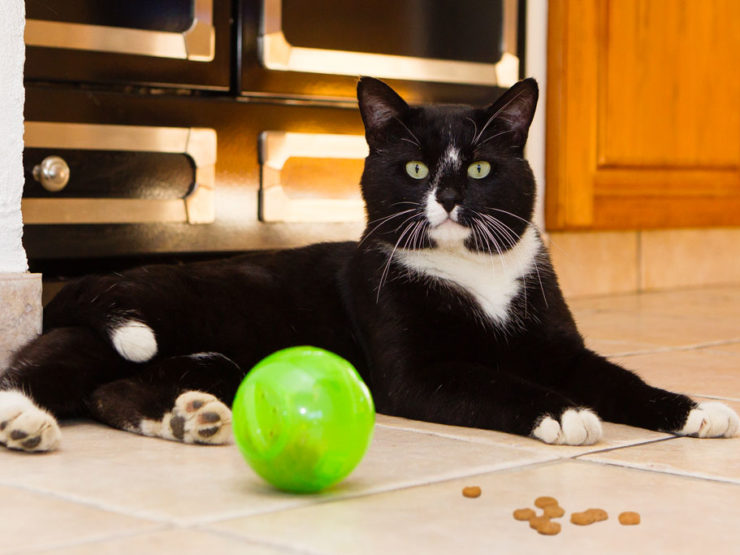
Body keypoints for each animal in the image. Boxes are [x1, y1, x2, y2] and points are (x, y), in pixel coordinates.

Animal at [1, 78, 740, 452]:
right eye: (414, 168)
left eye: (480, 167)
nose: (448, 199)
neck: (474, 275)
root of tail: (87, 282)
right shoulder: (414, 373)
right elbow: (494, 382)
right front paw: (562, 412)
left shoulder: (557, 345)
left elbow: (616, 377)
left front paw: (694, 408)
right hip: (127, 326)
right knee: (42, 370)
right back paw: (25, 423)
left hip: (203, 361)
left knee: (113, 394)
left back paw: (189, 418)